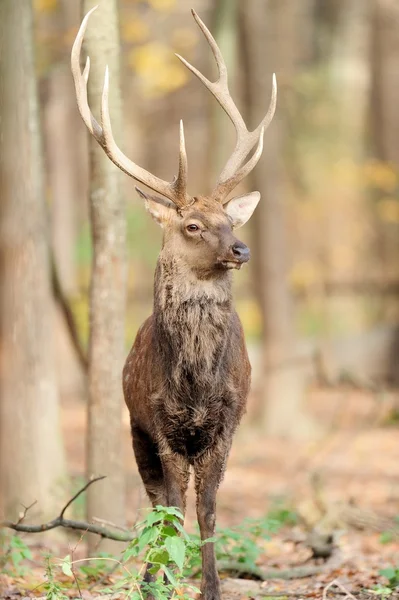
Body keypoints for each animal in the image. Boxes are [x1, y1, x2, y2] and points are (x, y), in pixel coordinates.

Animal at [72, 5, 276, 600]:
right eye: (192, 225)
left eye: (230, 218)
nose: (241, 248)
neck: (196, 384)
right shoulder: (159, 421)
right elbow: (173, 508)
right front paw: (159, 581)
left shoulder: (229, 420)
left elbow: (207, 507)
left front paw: (210, 586)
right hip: (133, 427)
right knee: (155, 501)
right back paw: (150, 574)